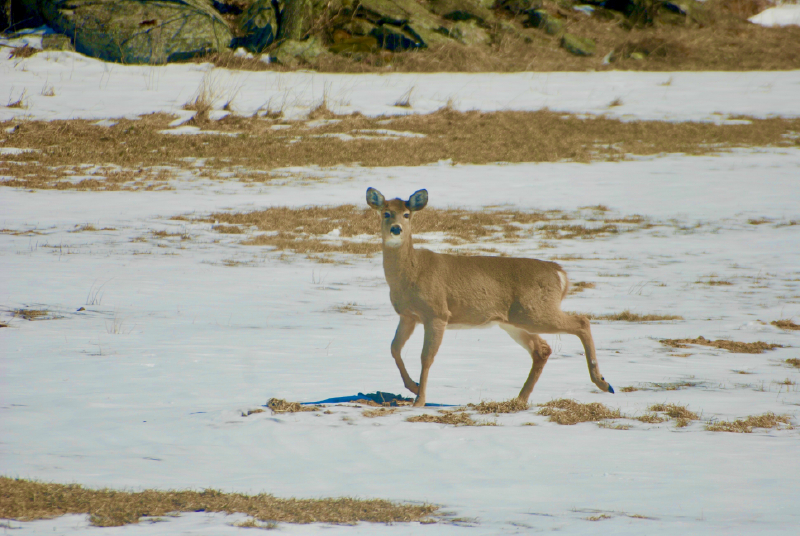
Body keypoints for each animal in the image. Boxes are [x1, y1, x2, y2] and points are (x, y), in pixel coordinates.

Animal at [366, 187, 614, 407]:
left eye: (407, 214)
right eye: (386, 212)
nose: (396, 229)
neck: (411, 272)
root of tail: (560, 274)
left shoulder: (437, 312)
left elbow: (426, 357)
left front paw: (419, 400)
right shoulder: (408, 315)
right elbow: (394, 348)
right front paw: (413, 387)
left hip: (534, 311)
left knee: (581, 321)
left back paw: (603, 382)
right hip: (515, 321)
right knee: (542, 349)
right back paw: (519, 399)